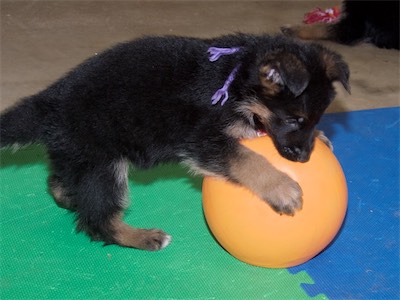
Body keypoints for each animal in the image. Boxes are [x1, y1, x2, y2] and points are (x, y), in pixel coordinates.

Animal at [0, 32, 350, 250]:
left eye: (315, 119)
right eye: (294, 119)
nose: (303, 158)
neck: (236, 76)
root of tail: (50, 104)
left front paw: (320, 137)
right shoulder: (201, 138)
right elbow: (246, 158)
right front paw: (281, 187)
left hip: (79, 157)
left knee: (62, 185)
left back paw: (71, 198)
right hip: (103, 165)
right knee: (98, 220)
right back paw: (141, 237)